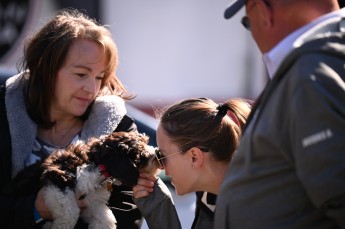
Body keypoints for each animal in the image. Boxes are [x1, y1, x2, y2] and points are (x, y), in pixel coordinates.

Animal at [2, 131, 161, 228]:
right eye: (141, 155)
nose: (157, 153)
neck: (97, 164)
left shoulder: (91, 200)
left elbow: (106, 217)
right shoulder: (57, 177)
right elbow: (71, 211)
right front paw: (58, 226)